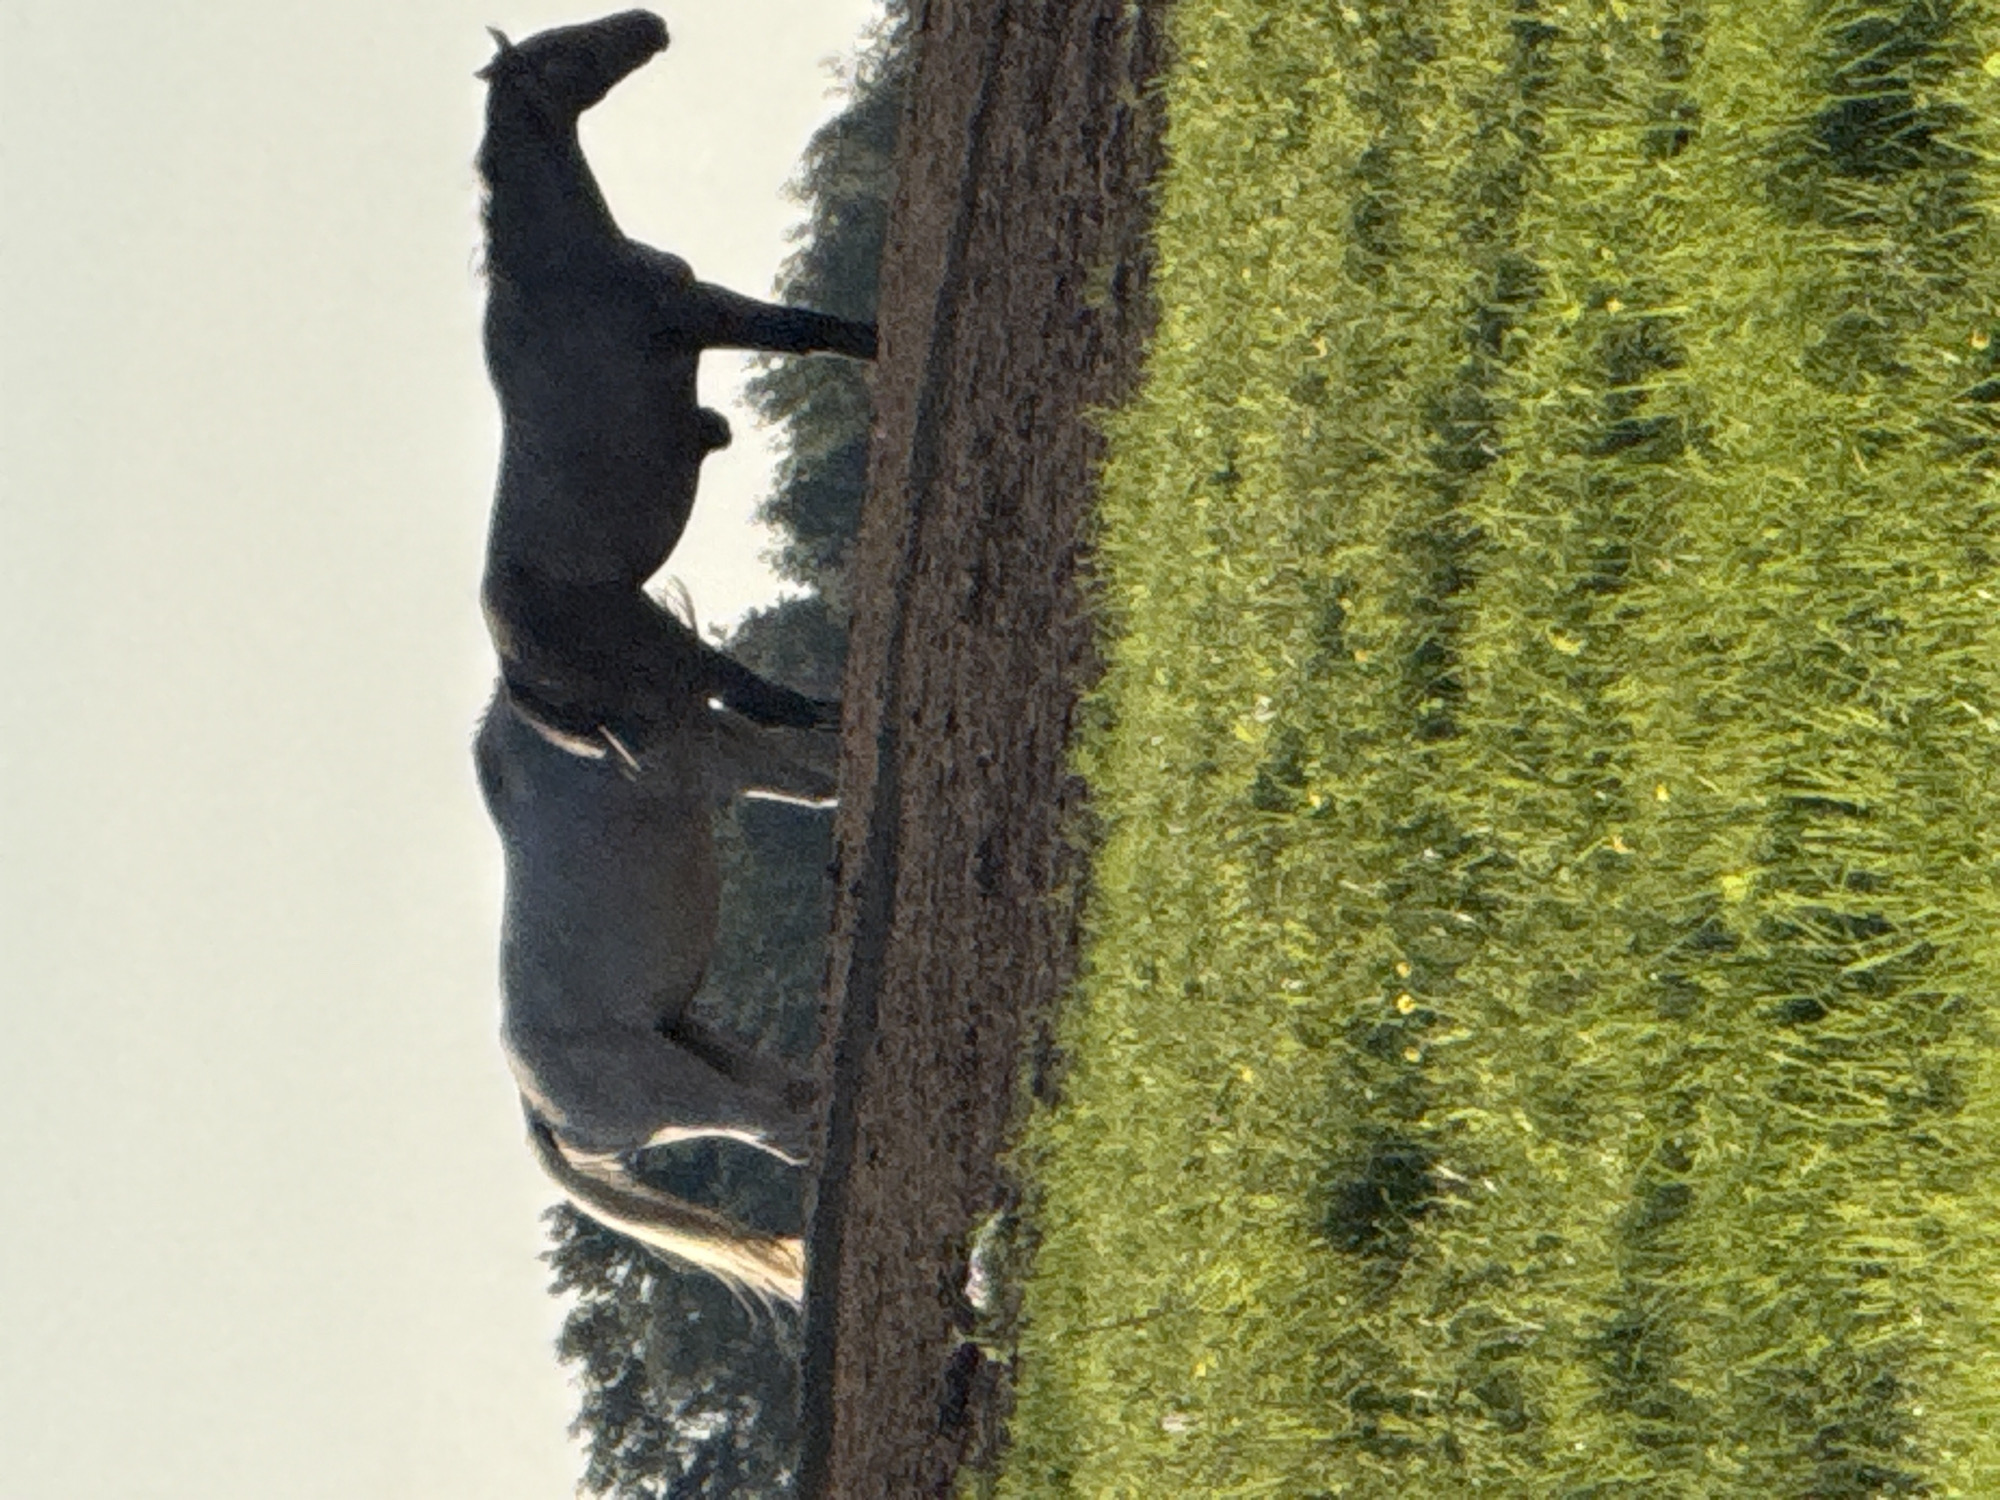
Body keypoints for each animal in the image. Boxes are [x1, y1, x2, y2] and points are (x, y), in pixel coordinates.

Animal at [475, 9, 876, 744]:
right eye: (561, 46)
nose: (646, 21)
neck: (562, 268)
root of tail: (520, 683)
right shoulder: (704, 313)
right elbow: (806, 332)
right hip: (671, 658)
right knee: (763, 704)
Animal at [476, 680, 838, 1304]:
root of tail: (537, 1111)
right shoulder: (730, 760)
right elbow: (821, 784)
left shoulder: (732, 741)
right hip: (691, 1097)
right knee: (781, 1125)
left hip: (692, 1041)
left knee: (785, 1101)